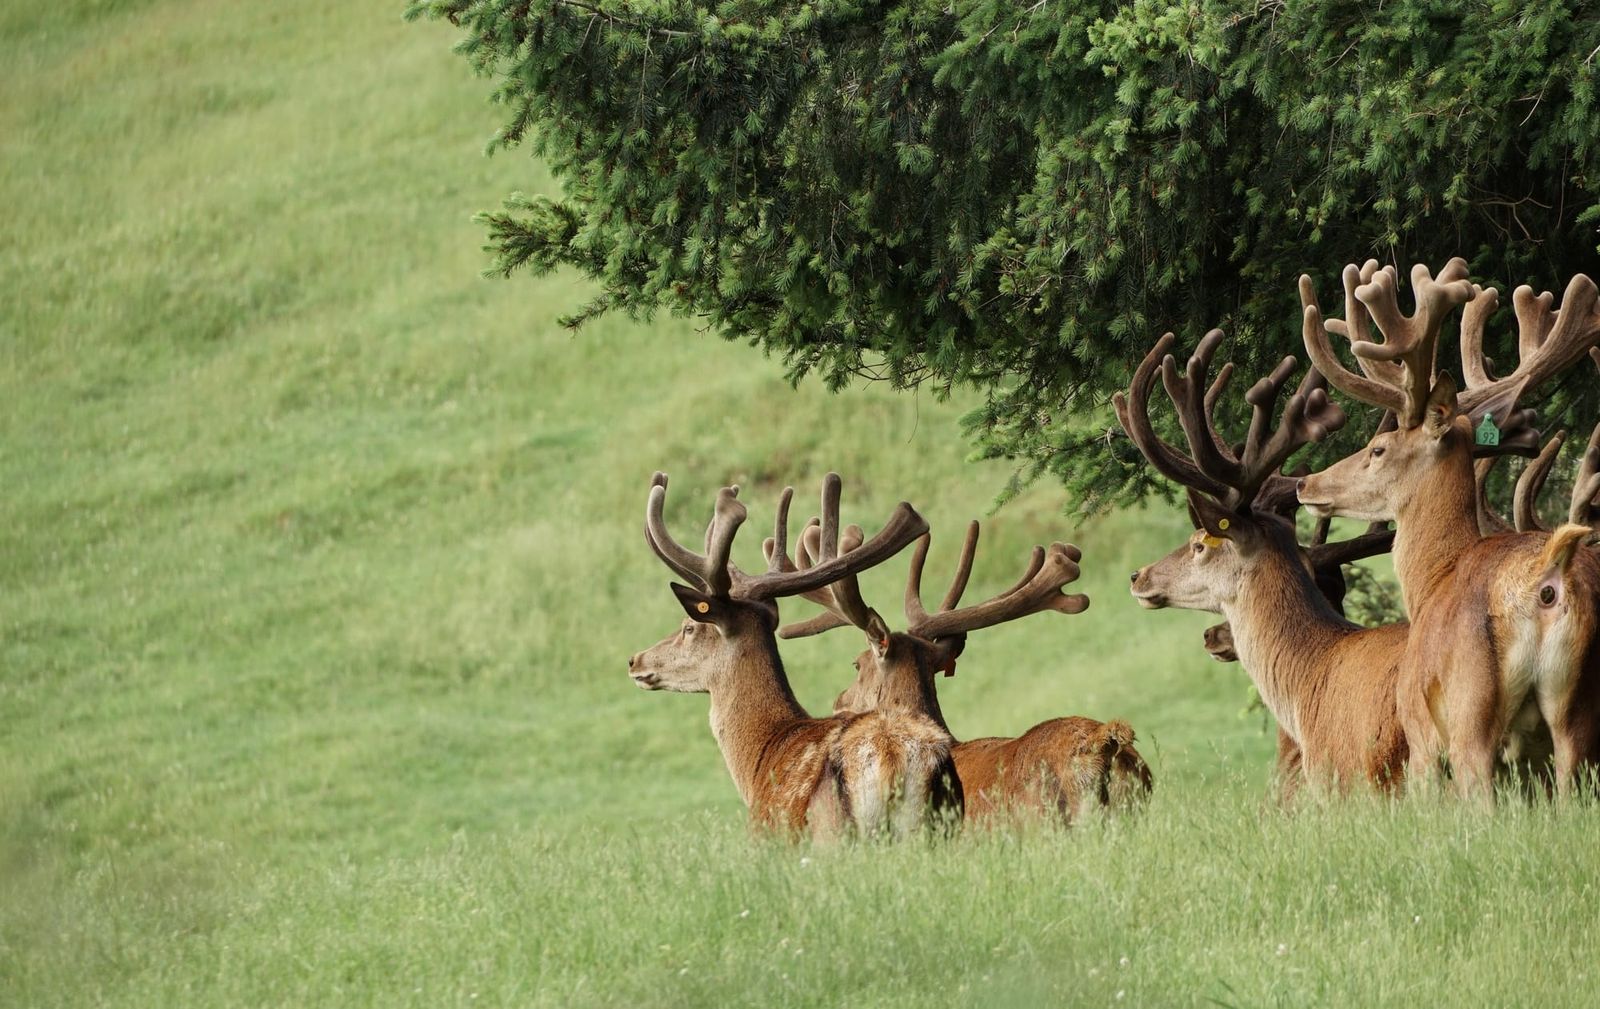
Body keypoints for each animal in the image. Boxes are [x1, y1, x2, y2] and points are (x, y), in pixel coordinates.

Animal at [1296, 259, 1600, 798]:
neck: (1432, 578)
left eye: (1378, 449)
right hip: (1576, 717)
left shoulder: (1420, 728)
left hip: (1469, 712)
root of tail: (1549, 578)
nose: (1305, 482)